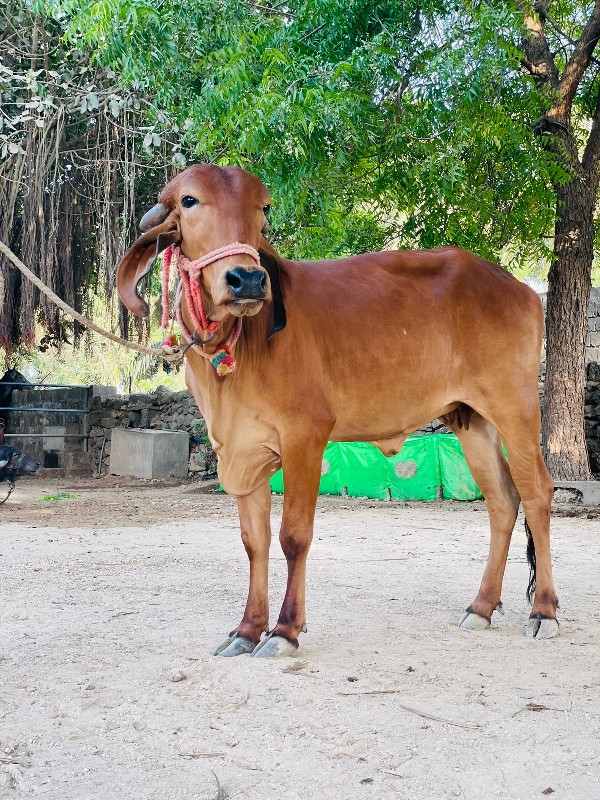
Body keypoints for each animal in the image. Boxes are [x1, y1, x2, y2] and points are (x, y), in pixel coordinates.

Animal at [116, 162, 556, 656]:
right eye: (189, 200)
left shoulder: (304, 437)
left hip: (515, 408)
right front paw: (247, 630)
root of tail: (519, 287)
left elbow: (293, 535)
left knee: (537, 494)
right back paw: (481, 606)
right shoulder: (242, 448)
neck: (236, 350)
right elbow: (254, 541)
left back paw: (543, 611)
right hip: (470, 419)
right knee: (503, 501)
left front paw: (284, 630)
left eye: (263, 208)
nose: (247, 279)